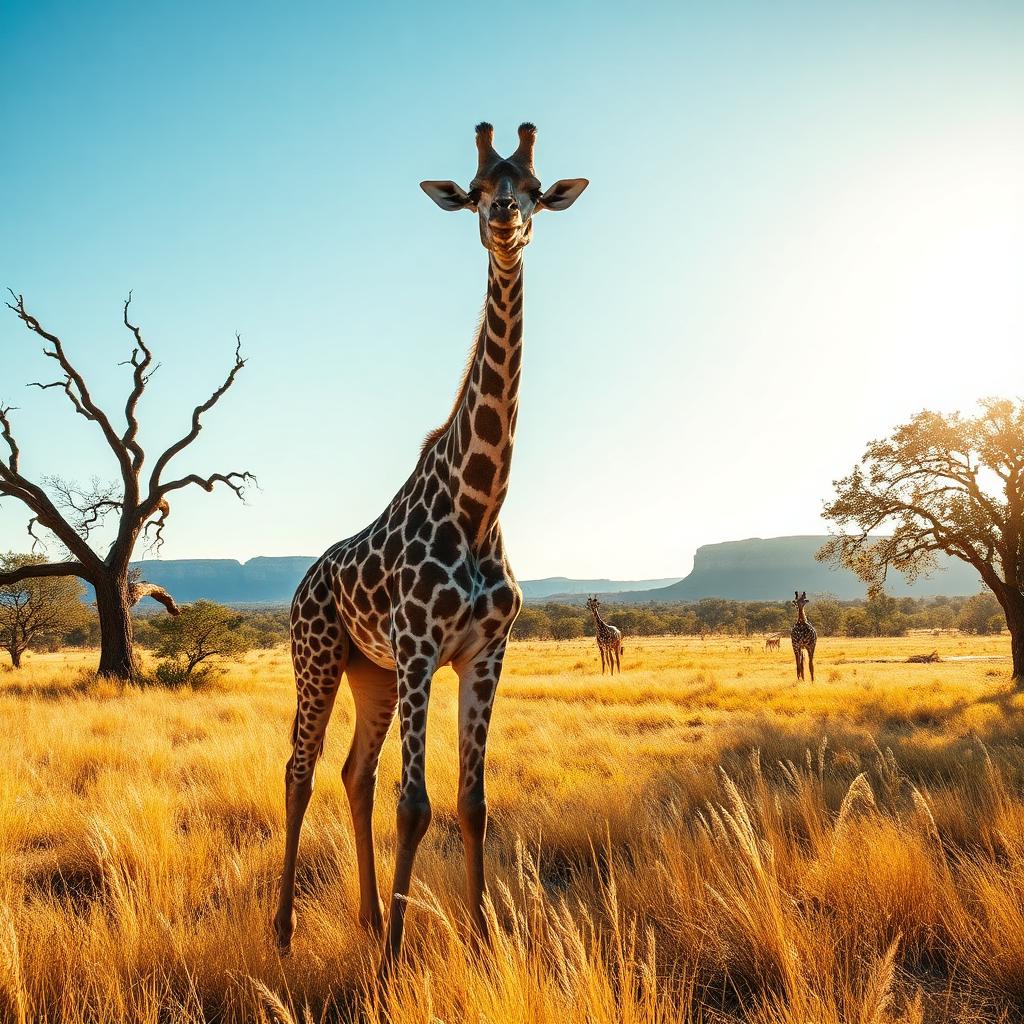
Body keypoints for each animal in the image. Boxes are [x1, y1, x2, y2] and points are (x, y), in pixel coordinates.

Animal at [272, 122, 588, 973]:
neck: (478, 507)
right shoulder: (419, 649)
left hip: (371, 674)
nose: (506, 220)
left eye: (535, 188)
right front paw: (391, 968)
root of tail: (302, 586)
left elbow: (472, 802)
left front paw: (480, 940)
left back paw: (368, 917)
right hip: (321, 658)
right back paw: (284, 932)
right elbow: (415, 806)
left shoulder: (485, 653)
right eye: (476, 192)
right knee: (300, 771)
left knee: (354, 773)